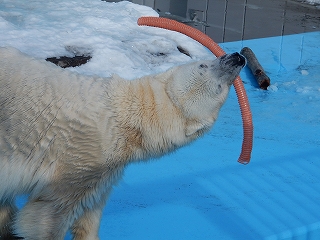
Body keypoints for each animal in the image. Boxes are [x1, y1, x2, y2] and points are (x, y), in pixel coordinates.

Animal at [0, 46, 245, 239]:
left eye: (220, 89)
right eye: (203, 65)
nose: (237, 57)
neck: (123, 115)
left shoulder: (104, 168)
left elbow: (90, 209)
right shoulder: (78, 157)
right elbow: (47, 214)